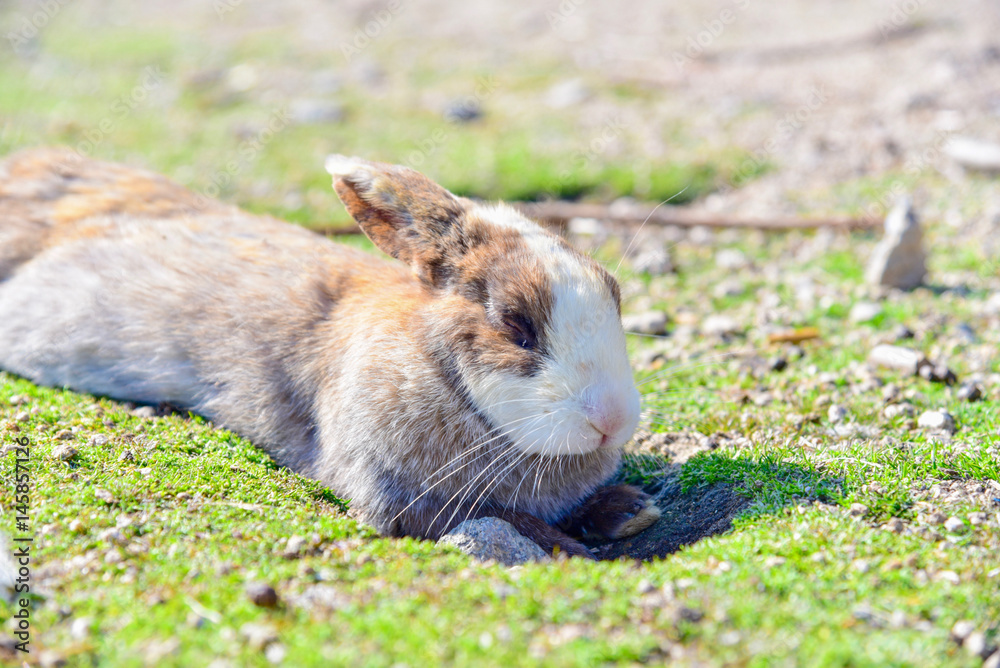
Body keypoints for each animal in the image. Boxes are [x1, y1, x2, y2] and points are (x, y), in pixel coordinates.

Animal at [0, 148, 660, 558]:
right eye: (514, 324)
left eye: (614, 292)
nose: (611, 420)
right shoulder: (395, 494)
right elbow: (480, 520)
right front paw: (571, 545)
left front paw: (630, 510)